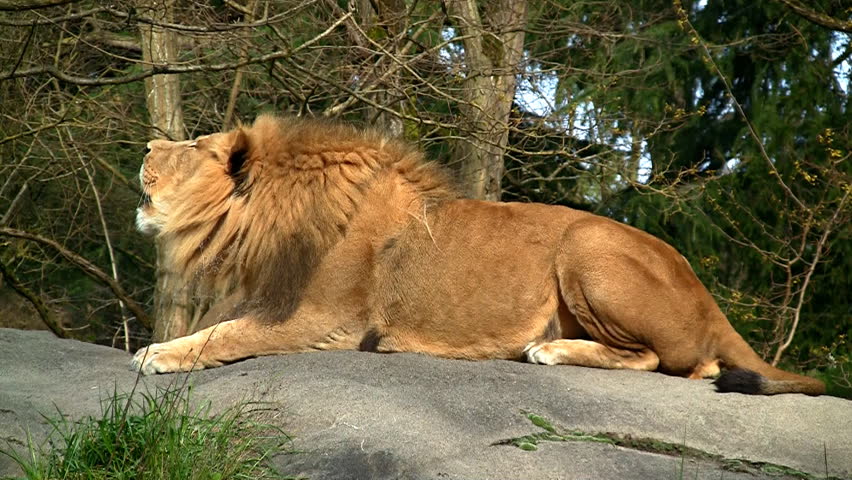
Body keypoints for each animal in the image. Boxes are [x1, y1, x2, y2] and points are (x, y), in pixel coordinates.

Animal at [131, 115, 825, 396]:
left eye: (192, 145)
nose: (145, 145)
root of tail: (706, 295)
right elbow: (221, 323)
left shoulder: (326, 320)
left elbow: (227, 334)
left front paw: (159, 354)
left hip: (586, 246)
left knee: (674, 362)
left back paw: (549, 350)